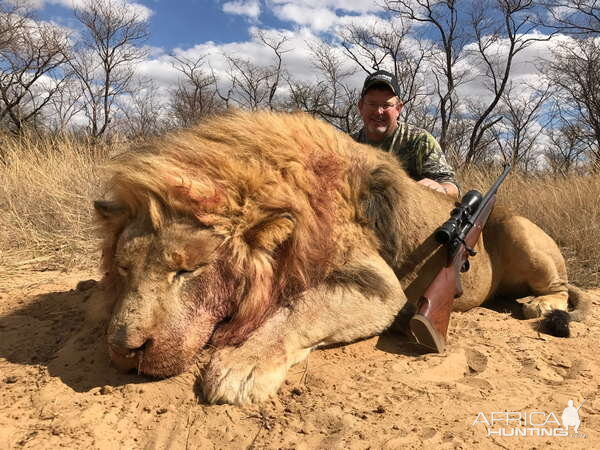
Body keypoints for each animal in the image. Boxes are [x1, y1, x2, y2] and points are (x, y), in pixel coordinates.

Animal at [94, 109, 592, 404]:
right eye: (123, 269)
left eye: (187, 270)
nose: (124, 350)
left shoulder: (379, 285)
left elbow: (297, 310)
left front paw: (240, 367)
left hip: (518, 228)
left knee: (558, 287)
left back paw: (539, 306)